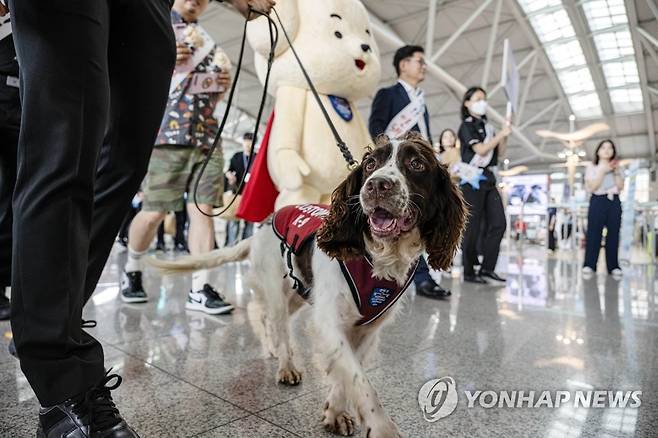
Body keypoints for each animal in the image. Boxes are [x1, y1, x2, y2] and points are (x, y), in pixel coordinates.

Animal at [149, 132, 466, 436]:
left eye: (416, 164)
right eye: (370, 165)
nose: (377, 185)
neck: (376, 258)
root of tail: (260, 229)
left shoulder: (368, 328)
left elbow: (348, 371)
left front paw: (335, 412)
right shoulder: (328, 319)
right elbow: (359, 381)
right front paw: (381, 428)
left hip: (300, 293)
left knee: (267, 317)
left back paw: (274, 349)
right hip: (278, 289)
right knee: (272, 318)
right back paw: (286, 365)